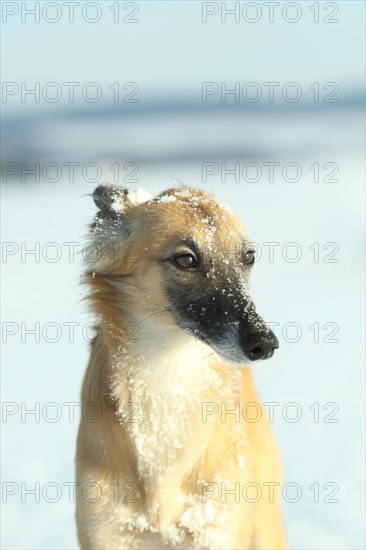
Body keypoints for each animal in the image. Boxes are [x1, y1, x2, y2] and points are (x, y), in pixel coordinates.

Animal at [76, 188, 288, 548]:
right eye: (185, 259)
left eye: (248, 257)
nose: (264, 344)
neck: (168, 374)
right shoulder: (108, 529)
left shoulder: (216, 526)